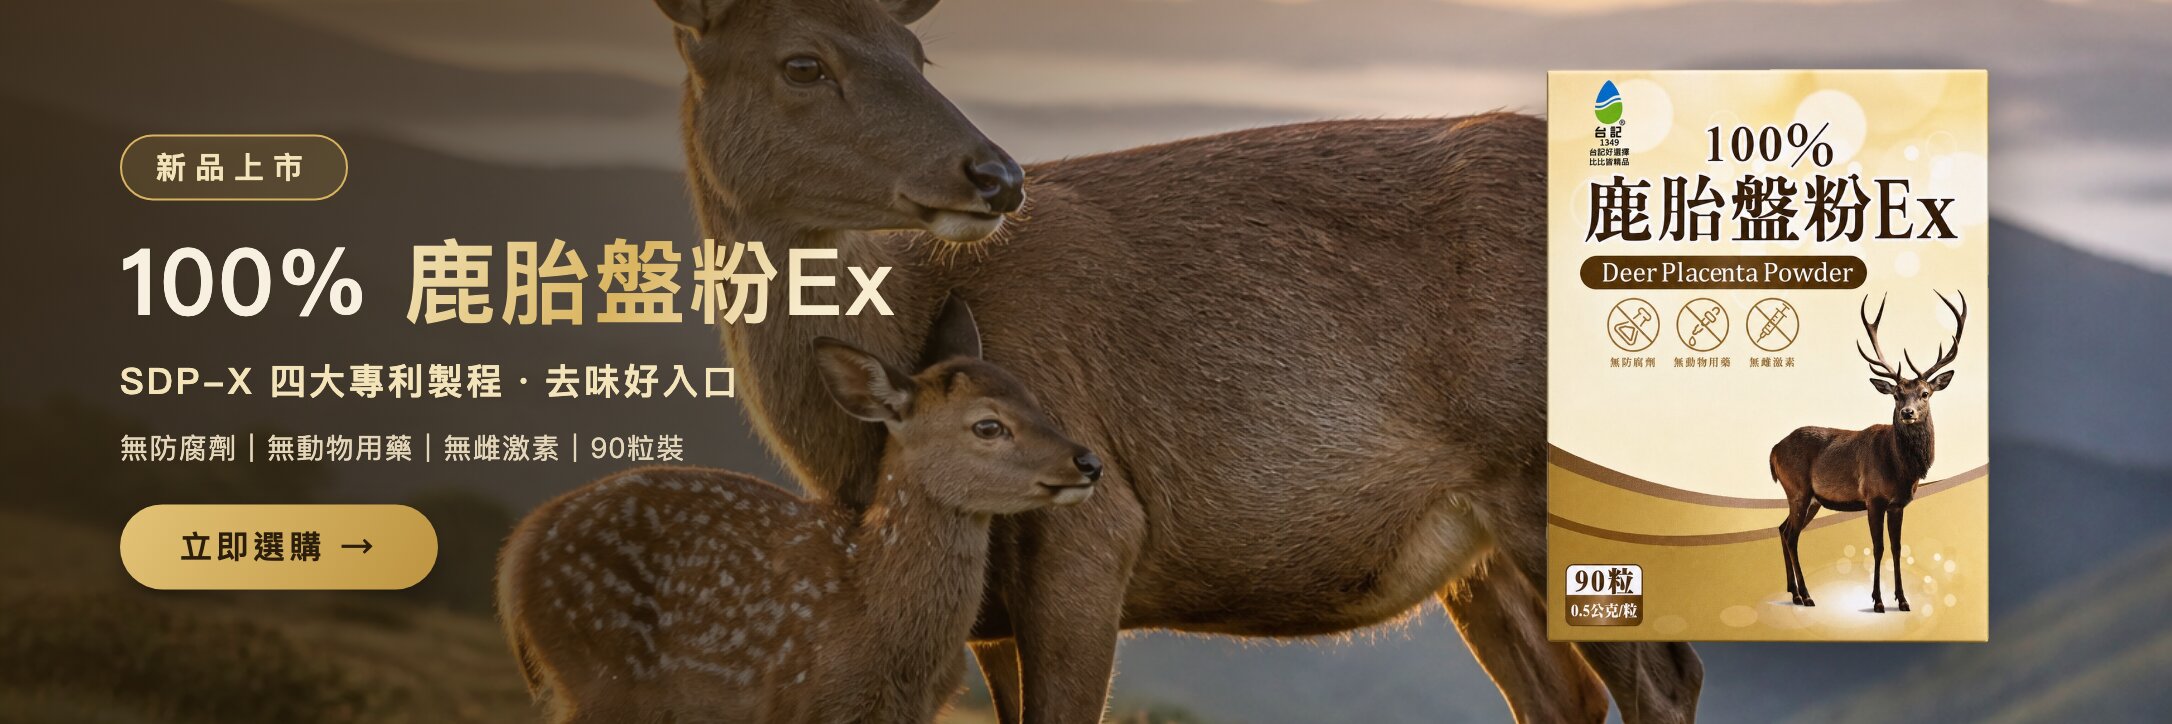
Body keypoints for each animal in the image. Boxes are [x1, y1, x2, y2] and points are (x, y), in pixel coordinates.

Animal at [496, 301, 1105, 723]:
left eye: (1033, 399)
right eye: (988, 425)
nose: (1088, 461)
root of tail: (518, 554)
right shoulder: (802, 697)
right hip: (600, 676)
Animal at [650, 0, 1700, 721]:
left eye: (917, 53)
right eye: (801, 62)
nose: (996, 175)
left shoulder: (1095, 531)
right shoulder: (986, 611)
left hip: (1544, 472)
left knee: (1663, 679)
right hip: (1476, 546)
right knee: (1564, 694)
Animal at [1771, 291, 1967, 614]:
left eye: (1925, 393)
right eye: (1897, 394)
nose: (1908, 412)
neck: (1902, 470)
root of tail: (1773, 450)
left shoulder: (1899, 504)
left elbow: (1898, 547)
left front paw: (1903, 600)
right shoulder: (1873, 497)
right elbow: (1878, 547)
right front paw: (1877, 601)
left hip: (1811, 499)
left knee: (1782, 528)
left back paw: (1793, 591)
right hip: (1797, 489)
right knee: (1791, 535)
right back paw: (1805, 596)